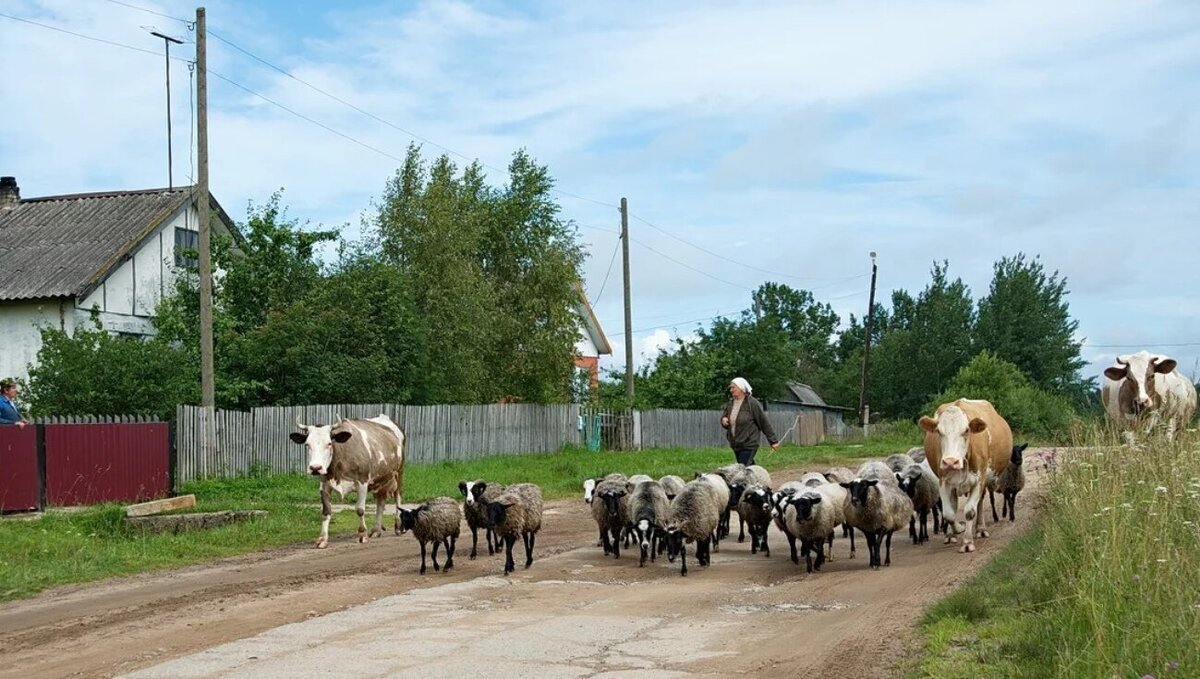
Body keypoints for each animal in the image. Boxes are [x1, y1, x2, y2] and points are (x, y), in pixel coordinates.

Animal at [290, 415, 408, 549]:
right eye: (307, 444)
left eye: (329, 443)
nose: (315, 468)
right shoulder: (324, 484)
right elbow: (326, 511)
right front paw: (322, 539)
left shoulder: (363, 482)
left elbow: (360, 509)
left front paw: (362, 534)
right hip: (380, 479)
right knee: (380, 501)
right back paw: (376, 530)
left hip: (399, 472)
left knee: (398, 498)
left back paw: (398, 526)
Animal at [916, 398, 1012, 554]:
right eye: (939, 431)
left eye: (966, 430)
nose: (950, 461)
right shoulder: (943, 482)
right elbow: (948, 513)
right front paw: (958, 529)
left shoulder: (979, 480)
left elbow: (970, 511)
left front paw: (967, 542)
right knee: (953, 506)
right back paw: (950, 535)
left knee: (980, 503)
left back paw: (980, 529)